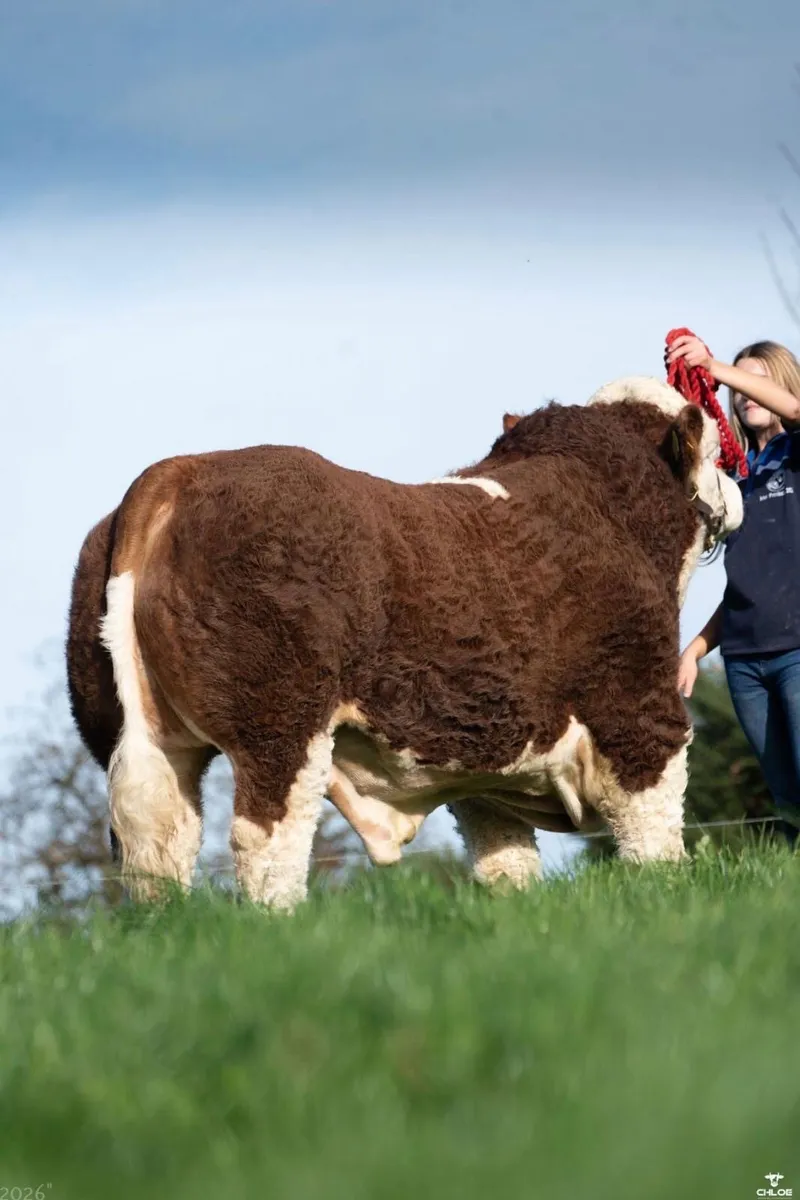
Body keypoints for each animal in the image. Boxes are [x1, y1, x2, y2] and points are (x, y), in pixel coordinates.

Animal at [65, 375, 743, 909]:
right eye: (716, 450)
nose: (736, 495)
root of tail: (180, 471)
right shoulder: (640, 718)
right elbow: (655, 841)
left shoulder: (487, 759)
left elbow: (505, 863)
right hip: (279, 727)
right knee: (266, 842)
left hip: (141, 735)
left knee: (158, 844)